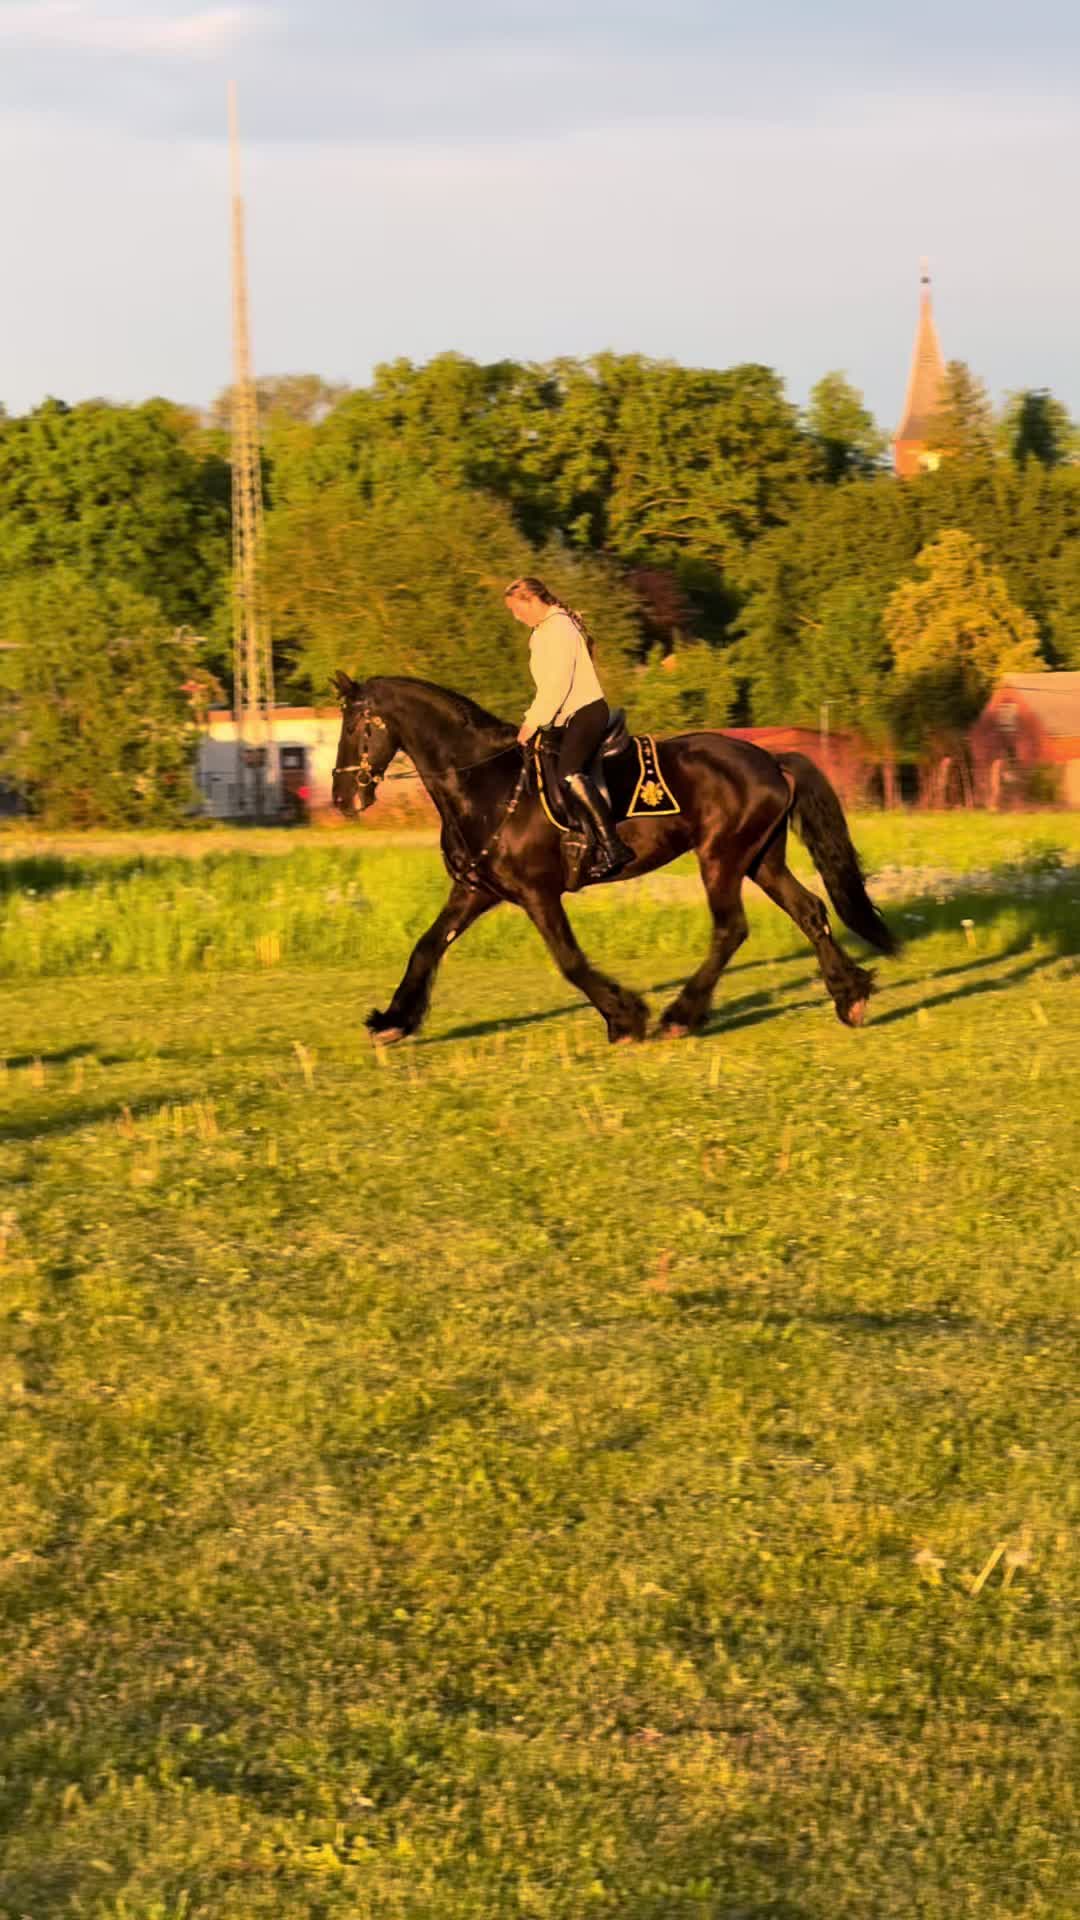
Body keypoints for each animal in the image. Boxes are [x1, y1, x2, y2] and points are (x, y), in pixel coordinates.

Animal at [331, 672, 896, 1045]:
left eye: (359, 726)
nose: (343, 800)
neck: (484, 784)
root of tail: (771, 760)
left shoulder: (538, 893)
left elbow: (570, 961)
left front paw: (626, 1018)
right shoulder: (476, 890)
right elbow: (426, 947)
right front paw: (392, 1021)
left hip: (722, 857)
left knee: (731, 929)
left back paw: (679, 1016)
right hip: (761, 859)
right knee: (809, 912)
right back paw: (851, 996)